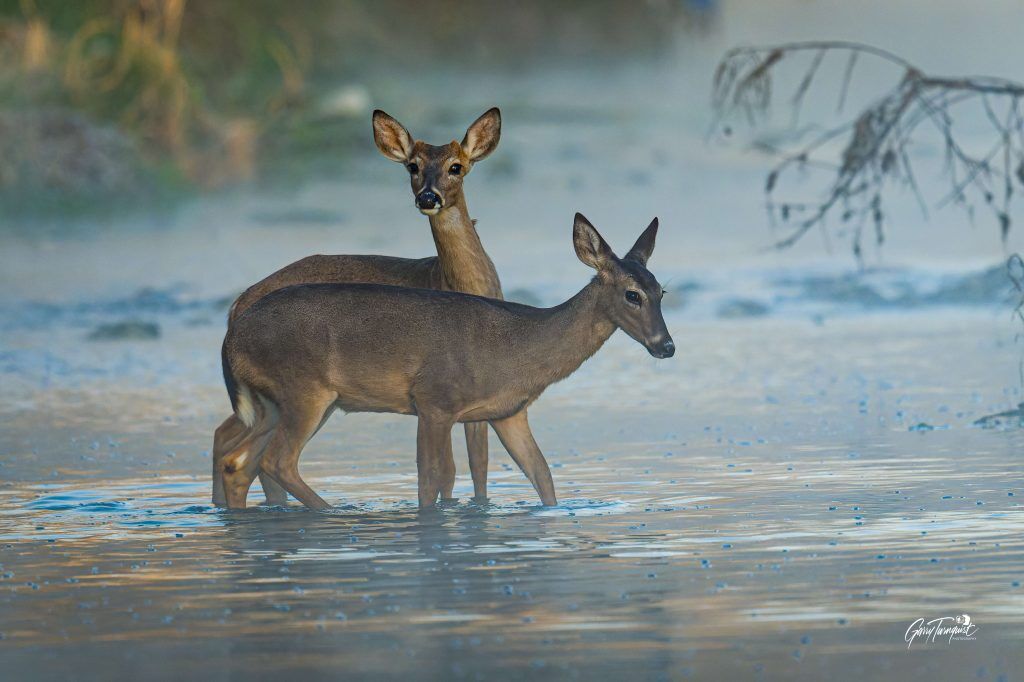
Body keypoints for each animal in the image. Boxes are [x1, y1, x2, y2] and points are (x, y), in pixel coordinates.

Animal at [211, 108, 504, 507]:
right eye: (413, 166)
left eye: (456, 166)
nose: (428, 197)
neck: (448, 280)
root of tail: (236, 308)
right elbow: (453, 468)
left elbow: (478, 463)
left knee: (227, 439)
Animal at [217, 213, 675, 510]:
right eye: (632, 294)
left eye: (661, 291)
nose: (666, 346)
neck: (521, 344)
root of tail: (232, 332)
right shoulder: (434, 400)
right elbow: (432, 479)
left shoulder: (508, 413)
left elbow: (542, 475)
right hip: (304, 391)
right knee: (276, 461)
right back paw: (333, 515)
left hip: (276, 404)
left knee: (238, 462)